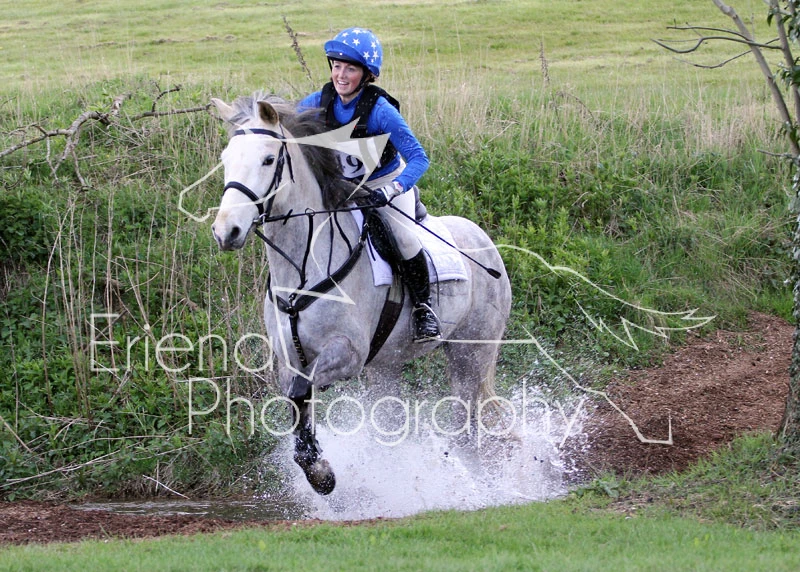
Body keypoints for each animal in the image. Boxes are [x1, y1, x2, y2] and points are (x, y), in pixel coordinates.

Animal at [210, 93, 512, 495]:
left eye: (268, 159)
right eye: (226, 158)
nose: (226, 231)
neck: (303, 269)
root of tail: (484, 239)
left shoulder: (349, 353)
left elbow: (302, 390)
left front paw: (319, 470)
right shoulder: (289, 356)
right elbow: (294, 398)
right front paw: (316, 466)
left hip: (472, 353)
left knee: (468, 414)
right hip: (388, 364)